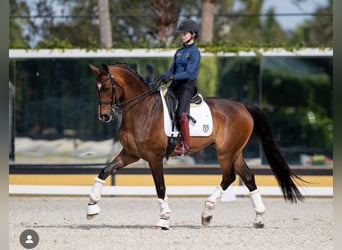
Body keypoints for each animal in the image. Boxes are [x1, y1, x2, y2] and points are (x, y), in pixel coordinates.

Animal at [87, 63, 304, 230]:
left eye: (106, 86)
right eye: (96, 87)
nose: (104, 116)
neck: (142, 109)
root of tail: (243, 106)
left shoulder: (154, 157)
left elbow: (160, 187)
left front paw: (163, 220)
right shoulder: (130, 154)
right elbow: (104, 171)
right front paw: (92, 207)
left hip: (225, 153)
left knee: (229, 177)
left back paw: (207, 213)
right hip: (234, 152)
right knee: (248, 177)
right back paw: (258, 218)